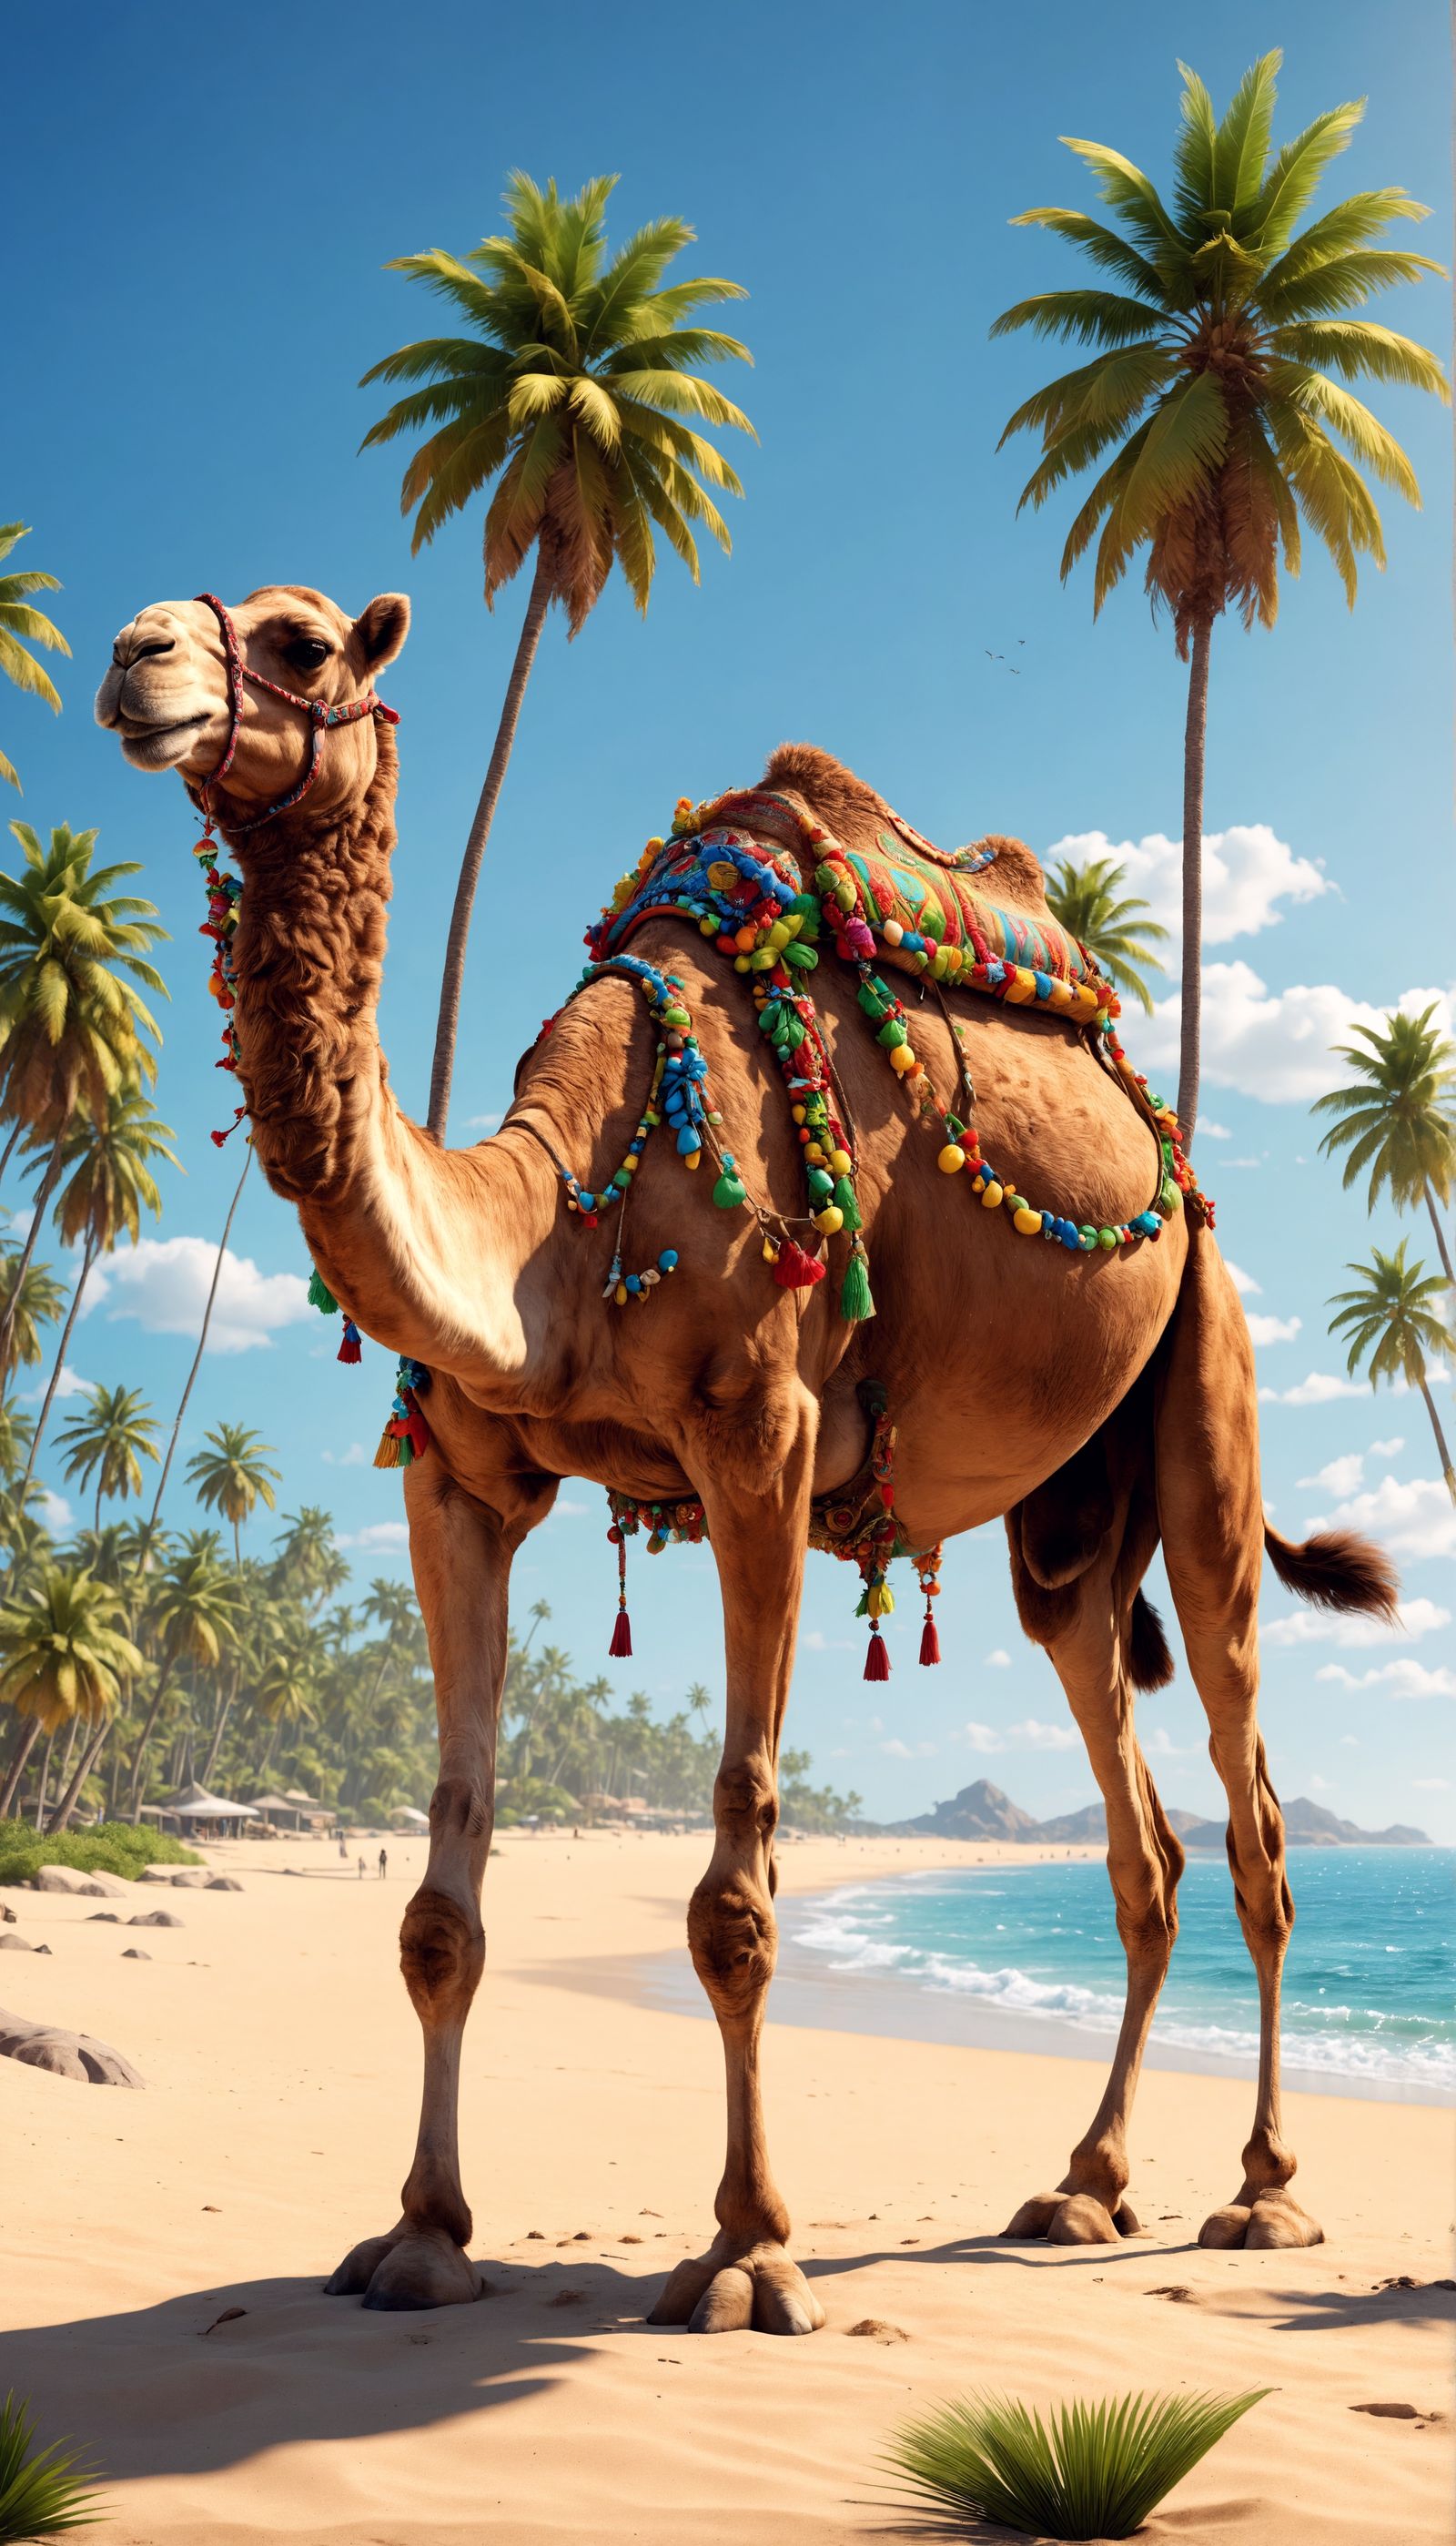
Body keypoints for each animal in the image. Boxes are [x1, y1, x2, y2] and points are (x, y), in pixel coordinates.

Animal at [94, 583, 1398, 2328]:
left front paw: (747, 2250)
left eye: (301, 642)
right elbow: (441, 1899)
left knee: (1253, 1810)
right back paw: (1081, 2184)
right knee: (1141, 1828)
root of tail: (1181, 1191)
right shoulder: (463, 1479)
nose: (133, 658)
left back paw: (1258, 2194)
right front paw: (422, 2234)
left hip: (1206, 1384)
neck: (561, 1219)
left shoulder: (759, 1438)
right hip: (1070, 1525)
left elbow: (733, 1890)